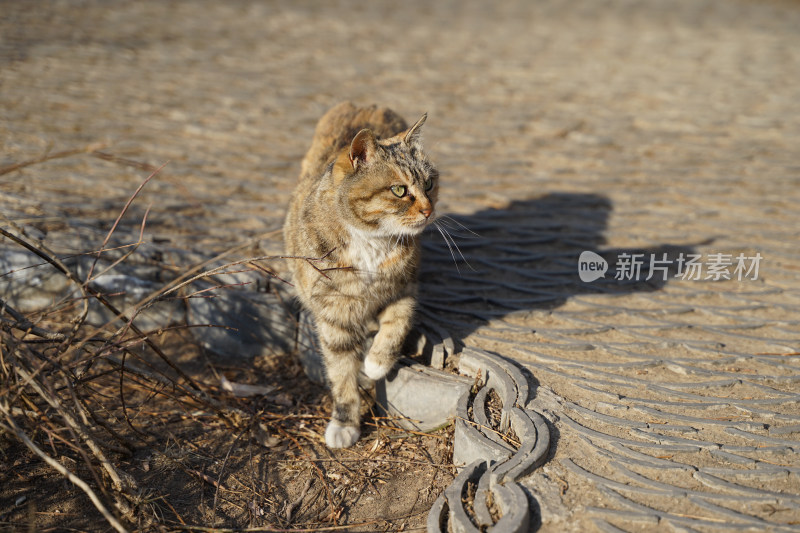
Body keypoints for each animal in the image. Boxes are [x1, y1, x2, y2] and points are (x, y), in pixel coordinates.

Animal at [284, 102, 440, 446]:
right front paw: (345, 422)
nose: (429, 210)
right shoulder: (334, 314)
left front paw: (377, 363)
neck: (371, 242)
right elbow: (341, 373)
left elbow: (397, 323)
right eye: (399, 190)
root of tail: (365, 104)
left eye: (429, 184)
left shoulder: (404, 286)